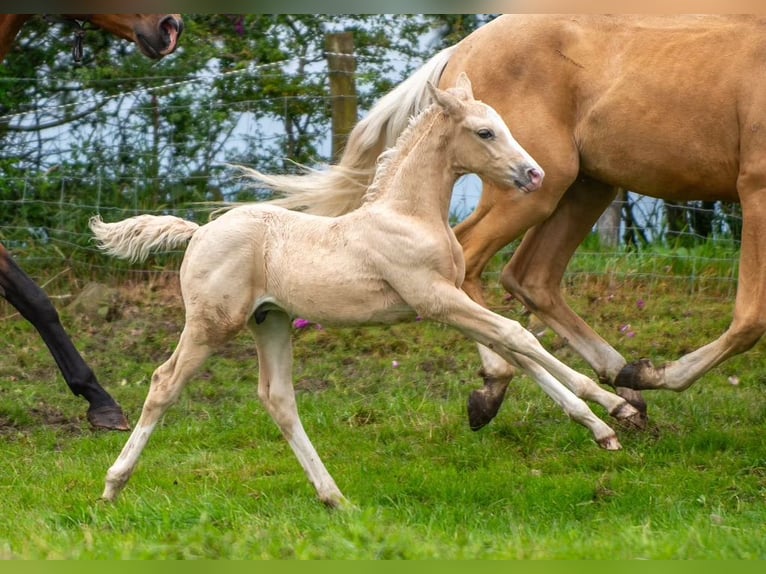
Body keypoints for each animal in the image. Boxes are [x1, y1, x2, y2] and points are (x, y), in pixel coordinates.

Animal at [90, 75, 640, 508]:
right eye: (485, 132)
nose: (535, 174)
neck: (410, 215)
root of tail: (198, 232)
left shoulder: (448, 302)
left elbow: (514, 351)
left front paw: (604, 426)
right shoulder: (435, 299)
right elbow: (518, 337)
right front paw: (616, 405)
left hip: (271, 321)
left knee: (278, 398)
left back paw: (335, 498)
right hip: (211, 324)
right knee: (164, 383)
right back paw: (113, 486)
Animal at [256, 13, 766, 432]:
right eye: (485, 131)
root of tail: (460, 49)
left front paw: (640, 376)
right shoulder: (755, 187)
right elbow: (750, 319)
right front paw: (656, 373)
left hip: (581, 185)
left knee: (528, 277)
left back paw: (620, 388)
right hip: (542, 188)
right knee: (477, 260)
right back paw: (505, 384)